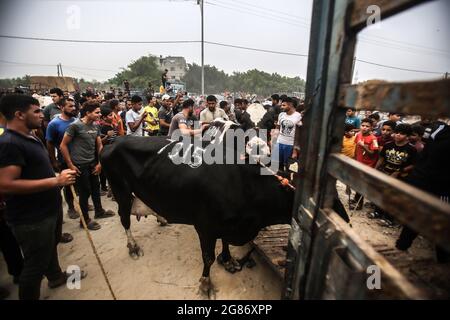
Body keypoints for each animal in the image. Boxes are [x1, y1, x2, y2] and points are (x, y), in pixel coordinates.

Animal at [100, 121, 294, 298]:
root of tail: (115, 139)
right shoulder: (206, 227)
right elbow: (208, 258)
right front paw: (205, 284)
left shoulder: (226, 224)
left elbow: (224, 242)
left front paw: (228, 259)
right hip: (120, 190)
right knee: (124, 219)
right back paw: (133, 247)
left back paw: (160, 219)